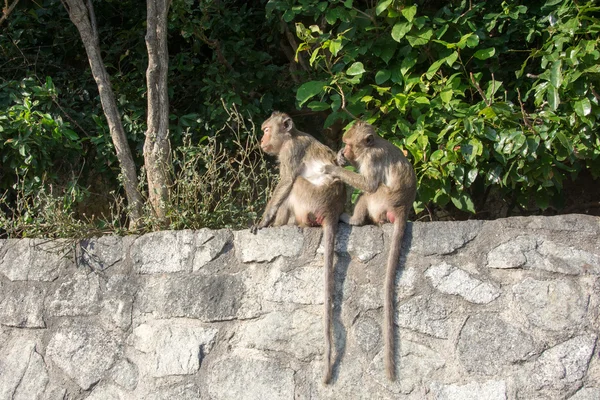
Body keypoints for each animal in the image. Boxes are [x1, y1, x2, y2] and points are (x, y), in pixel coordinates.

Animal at [253, 110, 346, 384]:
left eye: (266, 130)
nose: (261, 140)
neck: (291, 136)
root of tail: (333, 210)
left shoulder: (290, 151)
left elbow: (285, 182)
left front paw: (264, 221)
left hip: (311, 200)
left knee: (295, 185)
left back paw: (279, 225)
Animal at [322, 119, 414, 382]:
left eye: (350, 143)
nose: (345, 150)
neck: (373, 146)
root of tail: (403, 208)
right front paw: (340, 160)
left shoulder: (373, 159)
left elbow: (368, 183)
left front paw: (334, 170)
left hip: (381, 201)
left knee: (369, 192)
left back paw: (352, 220)